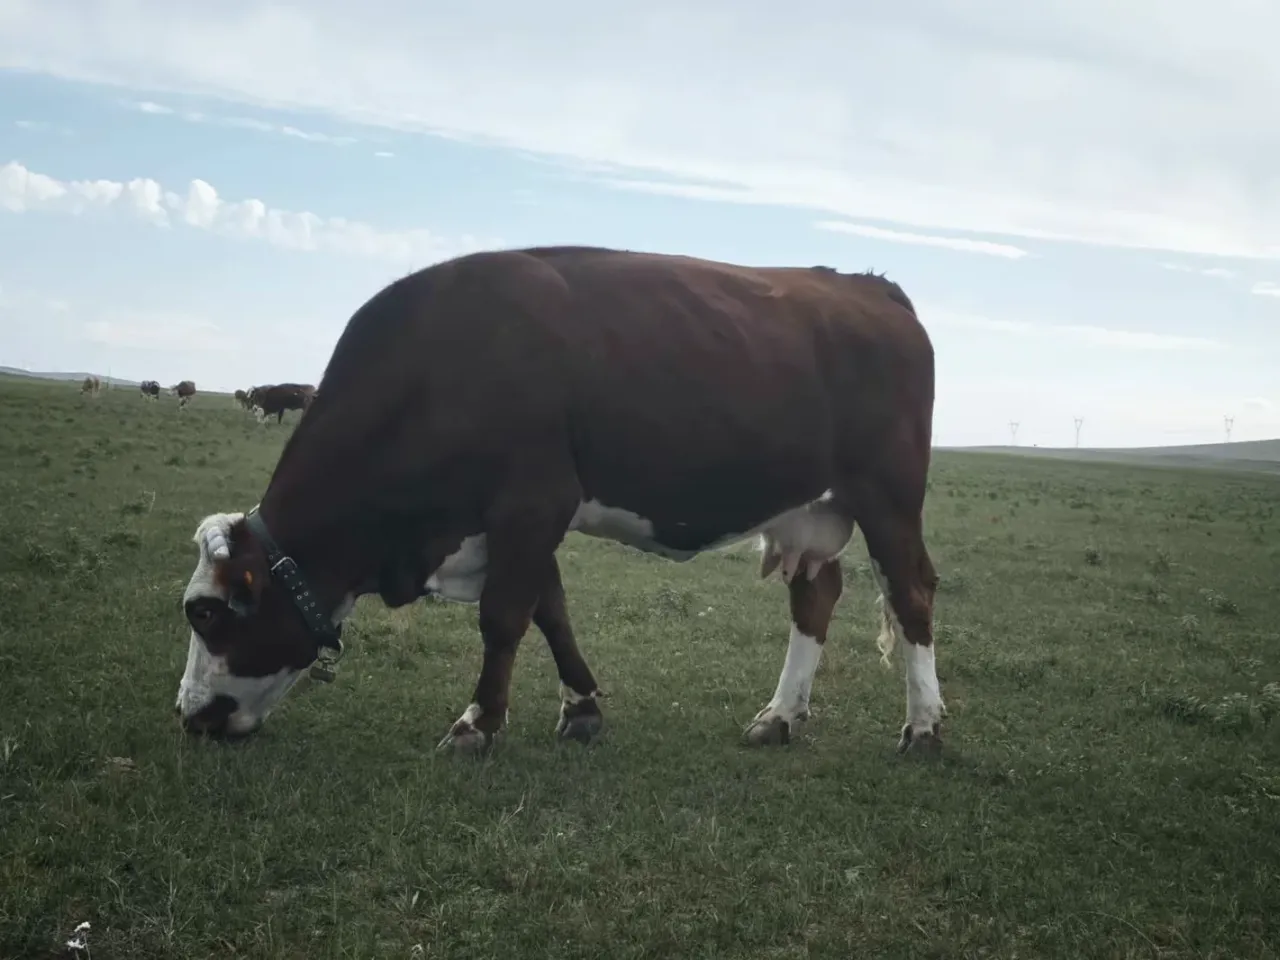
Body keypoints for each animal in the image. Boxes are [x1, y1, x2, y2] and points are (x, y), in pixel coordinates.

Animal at [175, 246, 942, 759]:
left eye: (206, 613)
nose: (189, 716)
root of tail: (868, 286)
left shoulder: (530, 501)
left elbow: (503, 617)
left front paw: (477, 723)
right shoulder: (521, 519)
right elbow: (551, 611)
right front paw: (581, 708)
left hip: (888, 495)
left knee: (912, 594)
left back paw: (926, 727)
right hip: (811, 509)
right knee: (816, 596)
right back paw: (781, 716)